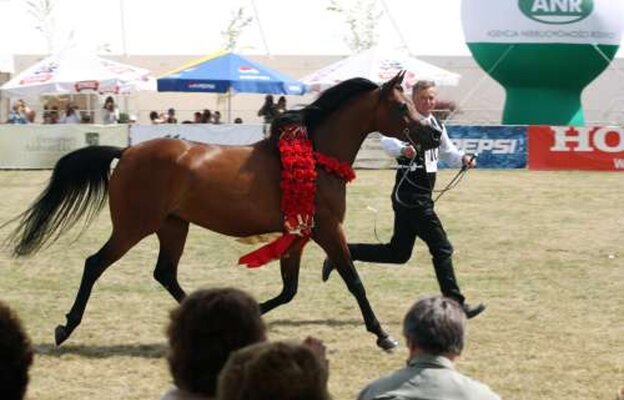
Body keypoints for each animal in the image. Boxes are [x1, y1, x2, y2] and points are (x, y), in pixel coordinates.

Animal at [4, 72, 442, 350]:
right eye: (401, 107)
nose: (434, 134)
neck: (317, 157)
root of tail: (126, 152)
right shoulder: (328, 230)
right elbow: (353, 281)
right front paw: (383, 335)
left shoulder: (299, 234)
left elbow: (289, 291)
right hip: (134, 226)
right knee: (95, 264)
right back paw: (65, 328)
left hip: (173, 227)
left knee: (165, 273)